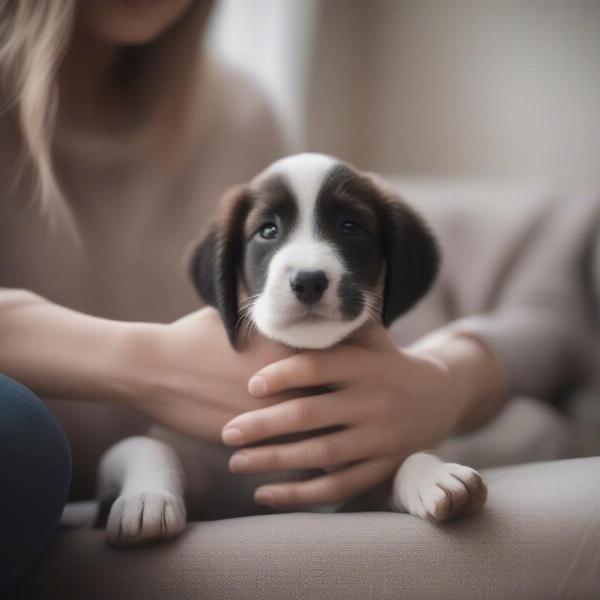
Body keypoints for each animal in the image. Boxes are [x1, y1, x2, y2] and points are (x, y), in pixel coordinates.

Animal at [98, 152, 488, 548]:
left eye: (350, 227)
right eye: (268, 231)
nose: (309, 281)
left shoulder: (360, 476)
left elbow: (401, 460)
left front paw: (434, 474)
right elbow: (147, 447)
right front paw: (146, 498)